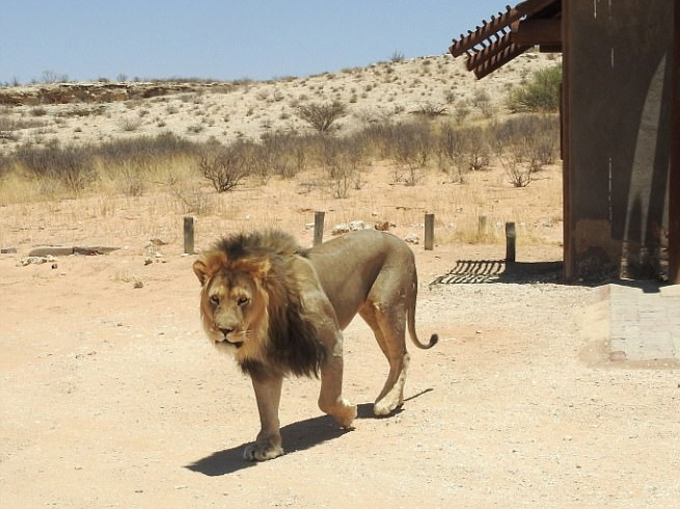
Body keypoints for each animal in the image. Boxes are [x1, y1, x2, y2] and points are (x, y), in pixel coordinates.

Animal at [191, 228, 438, 458]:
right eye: (215, 299)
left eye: (243, 300)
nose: (224, 330)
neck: (268, 325)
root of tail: (400, 242)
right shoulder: (263, 364)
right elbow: (266, 409)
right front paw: (267, 446)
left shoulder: (332, 342)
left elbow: (326, 399)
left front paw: (349, 415)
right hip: (372, 314)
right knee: (397, 357)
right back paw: (394, 399)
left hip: (387, 306)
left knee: (402, 355)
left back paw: (387, 402)